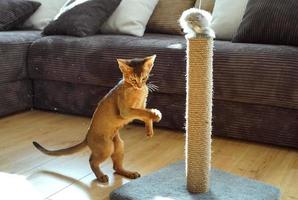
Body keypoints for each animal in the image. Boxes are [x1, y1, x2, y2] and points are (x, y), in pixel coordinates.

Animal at [32, 54, 161, 183]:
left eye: (144, 78)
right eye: (133, 79)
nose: (139, 86)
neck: (137, 91)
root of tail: (87, 137)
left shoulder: (142, 105)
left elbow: (145, 115)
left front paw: (150, 130)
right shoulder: (126, 111)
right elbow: (142, 112)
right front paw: (156, 114)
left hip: (119, 144)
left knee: (116, 167)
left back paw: (129, 173)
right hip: (107, 147)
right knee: (92, 160)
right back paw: (101, 176)